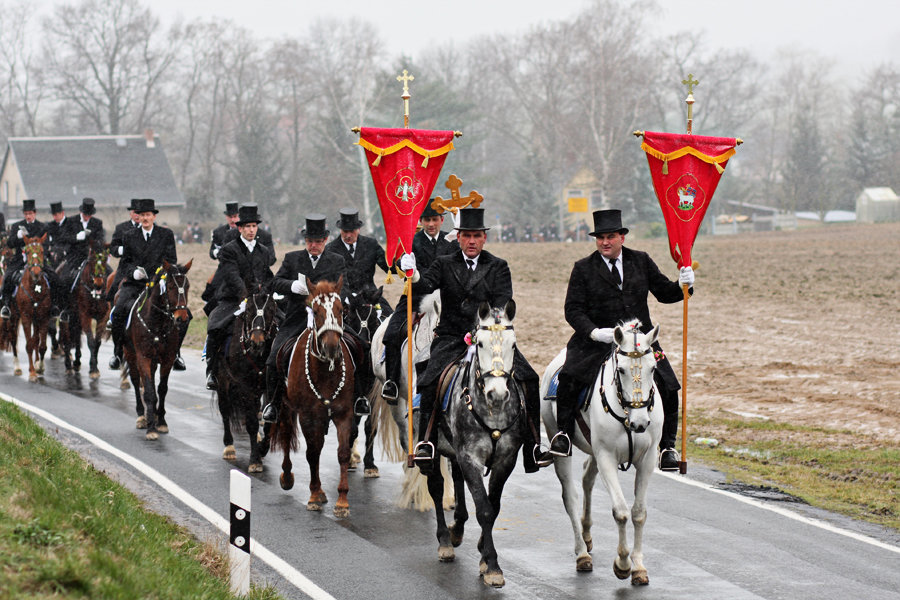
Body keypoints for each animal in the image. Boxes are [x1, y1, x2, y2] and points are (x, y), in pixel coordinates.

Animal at [60, 241, 113, 378]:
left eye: (104, 260)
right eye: (92, 261)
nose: (98, 284)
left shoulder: (103, 317)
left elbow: (97, 342)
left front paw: (94, 366)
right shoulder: (85, 315)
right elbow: (90, 341)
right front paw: (93, 369)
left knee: (77, 335)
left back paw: (77, 362)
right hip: (67, 316)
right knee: (66, 338)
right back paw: (68, 365)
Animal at [123, 258, 192, 440]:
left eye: (187, 286)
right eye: (171, 287)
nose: (182, 319)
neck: (157, 322)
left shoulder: (167, 358)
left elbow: (161, 390)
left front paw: (160, 422)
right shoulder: (143, 357)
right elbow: (148, 391)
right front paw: (151, 429)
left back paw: (151, 415)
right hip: (130, 354)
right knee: (135, 381)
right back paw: (142, 416)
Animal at [272, 276, 356, 516]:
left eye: (340, 309)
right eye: (316, 311)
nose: (331, 347)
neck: (326, 370)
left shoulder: (344, 413)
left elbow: (343, 453)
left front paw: (342, 501)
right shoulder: (308, 416)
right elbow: (312, 453)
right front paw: (314, 495)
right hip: (286, 408)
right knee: (286, 434)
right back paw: (287, 476)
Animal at [536, 318, 664, 584]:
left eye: (653, 368)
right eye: (622, 370)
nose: (640, 423)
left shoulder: (646, 461)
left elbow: (638, 513)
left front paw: (638, 567)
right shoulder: (606, 456)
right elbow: (621, 512)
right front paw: (623, 564)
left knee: (587, 478)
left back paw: (586, 535)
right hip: (559, 440)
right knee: (570, 496)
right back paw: (582, 554)